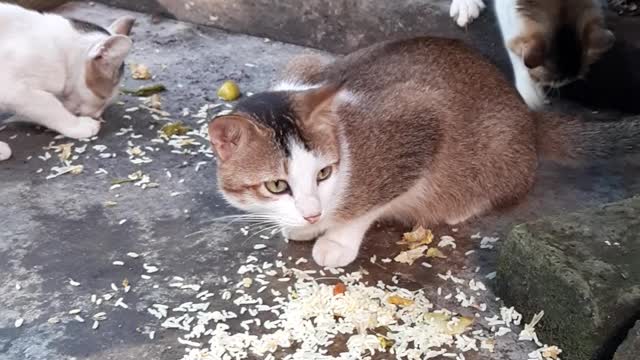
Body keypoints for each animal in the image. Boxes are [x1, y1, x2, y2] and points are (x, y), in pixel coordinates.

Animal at [0, 3, 134, 160]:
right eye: (103, 98)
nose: (97, 115)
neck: (61, 52)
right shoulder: (13, 89)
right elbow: (50, 106)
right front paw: (79, 126)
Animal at [208, 37, 636, 268]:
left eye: (324, 173)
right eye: (277, 186)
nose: (312, 212)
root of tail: (528, 115)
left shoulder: (420, 123)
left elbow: (369, 204)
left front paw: (336, 239)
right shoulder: (306, 64)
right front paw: (306, 224)